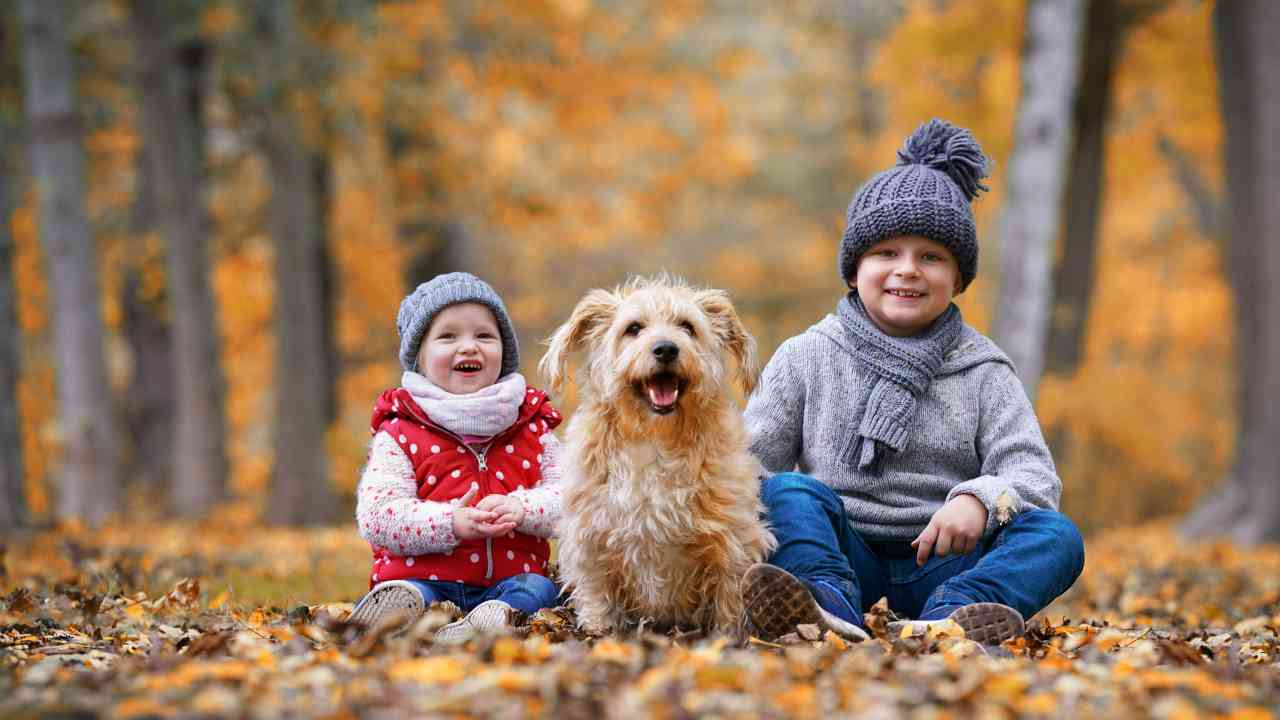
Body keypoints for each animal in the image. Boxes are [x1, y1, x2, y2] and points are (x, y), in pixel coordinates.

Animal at [537, 275, 768, 632]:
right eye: (633, 328)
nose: (666, 349)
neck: (655, 439)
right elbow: (598, 596)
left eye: (687, 327)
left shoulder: (734, 538)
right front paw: (600, 631)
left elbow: (729, 596)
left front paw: (728, 634)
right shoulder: (589, 537)